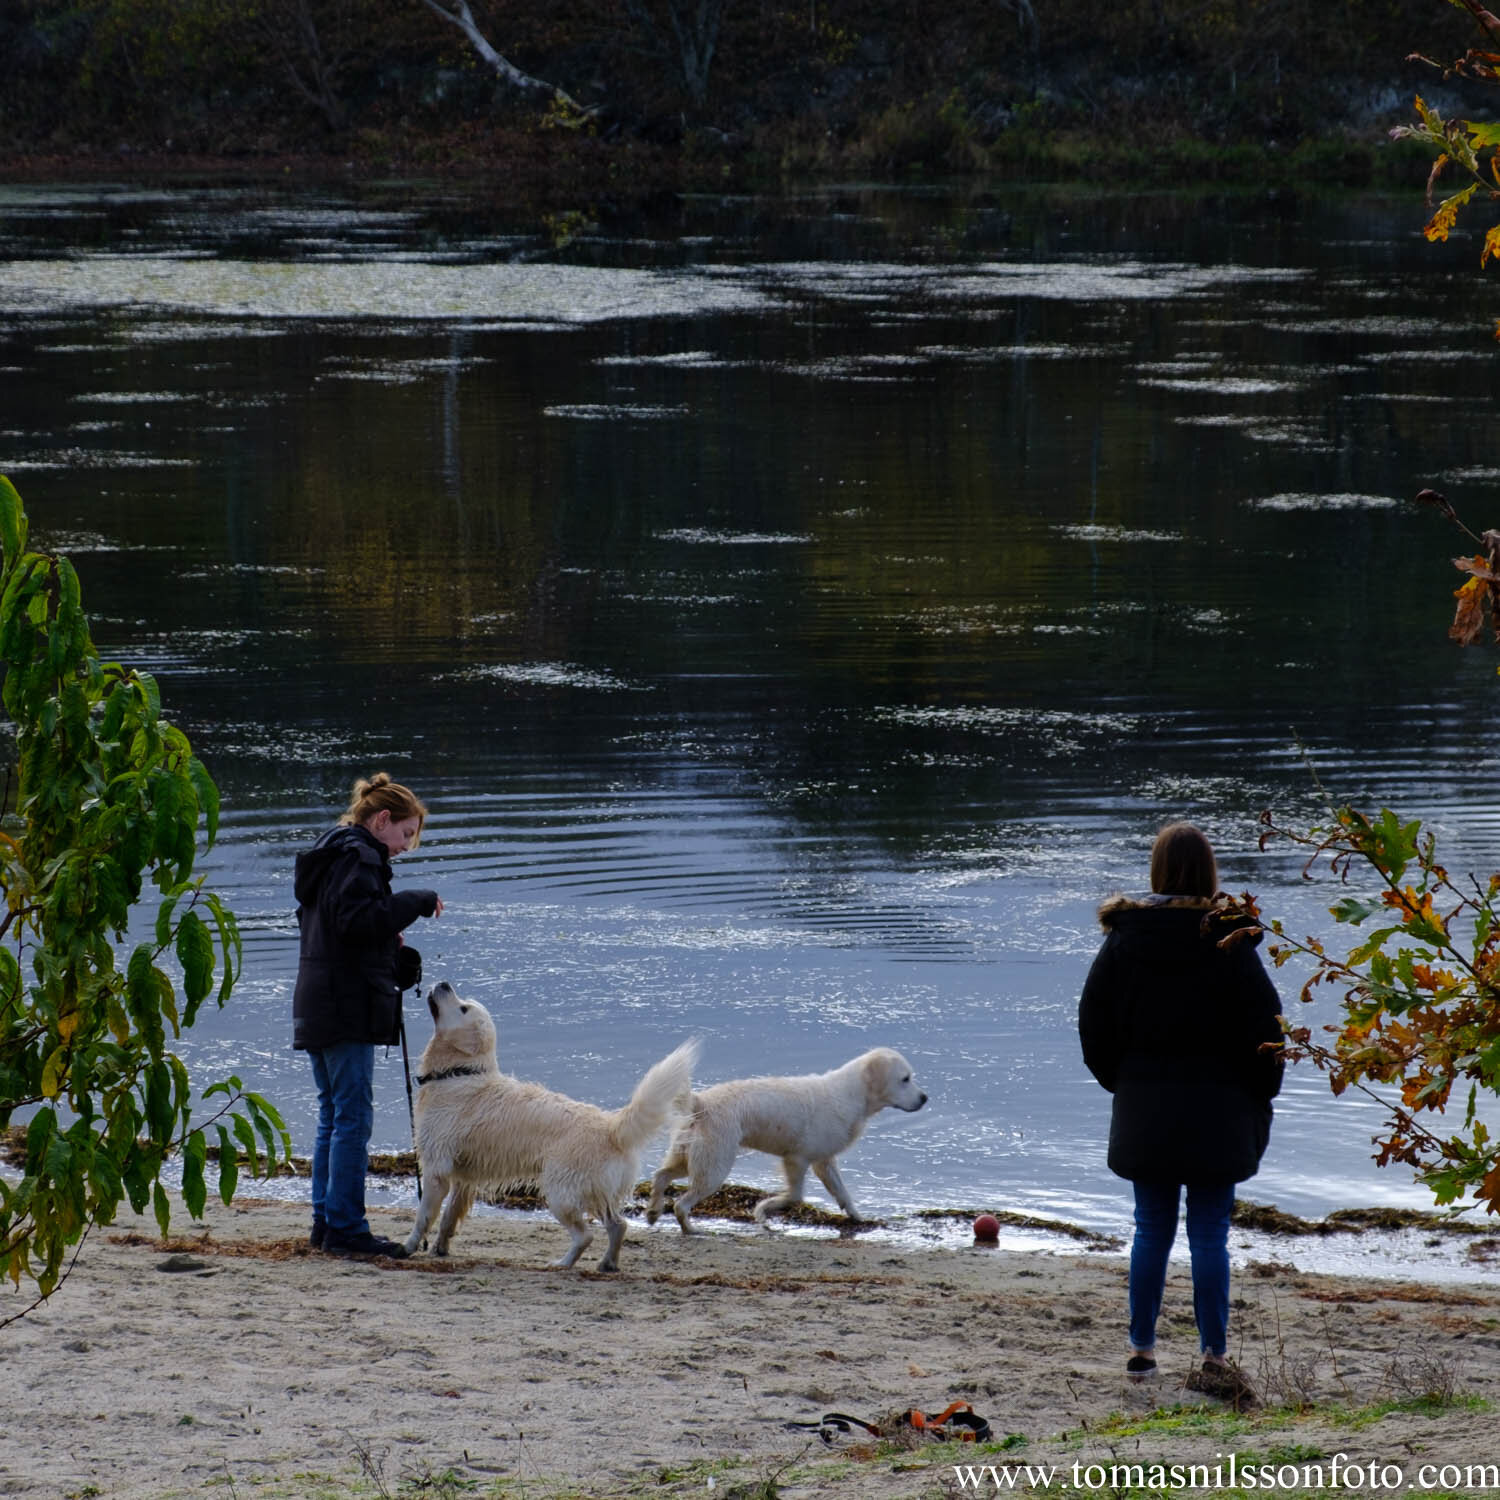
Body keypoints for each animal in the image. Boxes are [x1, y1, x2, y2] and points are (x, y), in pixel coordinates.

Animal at [405, 984, 696, 1278]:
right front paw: (439, 1248)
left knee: (585, 1235)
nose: (444, 983)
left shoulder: (436, 1170)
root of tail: (612, 1128)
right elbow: (448, 1219)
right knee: (618, 1225)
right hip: (596, 1191)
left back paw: (562, 1264)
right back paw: (607, 1264)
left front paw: (407, 1248)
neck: (458, 1074)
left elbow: (423, 1217)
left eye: (463, 1008)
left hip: (560, 1193)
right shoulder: (463, 1178)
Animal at [645, 1056, 924, 1230]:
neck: (853, 1094)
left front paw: (858, 1217)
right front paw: (763, 1210)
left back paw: (653, 1212)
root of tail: (700, 1103)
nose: (925, 1098)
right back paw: (692, 1230)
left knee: (660, 1176)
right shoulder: (797, 1159)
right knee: (680, 1204)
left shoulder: (824, 1161)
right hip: (714, 1167)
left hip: (690, 1158)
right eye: (905, 1079)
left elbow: (843, 1193)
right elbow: (795, 1197)